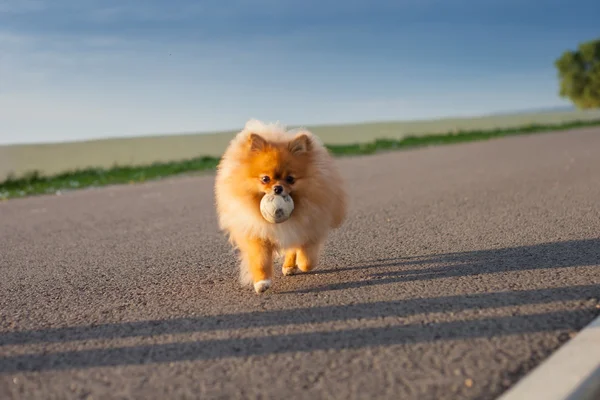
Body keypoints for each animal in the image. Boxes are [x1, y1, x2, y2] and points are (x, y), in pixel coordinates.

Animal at [214, 119, 346, 294]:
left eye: (290, 179)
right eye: (265, 179)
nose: (277, 188)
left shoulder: (308, 228)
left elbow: (307, 259)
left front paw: (300, 264)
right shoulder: (257, 232)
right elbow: (260, 259)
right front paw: (261, 282)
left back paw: (290, 265)